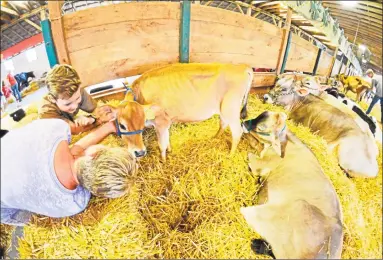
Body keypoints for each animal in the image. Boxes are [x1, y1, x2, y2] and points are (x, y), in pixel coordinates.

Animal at [112, 63, 254, 160]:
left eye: (141, 124)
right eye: (122, 125)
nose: (139, 152)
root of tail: (242, 66)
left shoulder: (161, 123)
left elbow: (161, 144)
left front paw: (163, 161)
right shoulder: (166, 123)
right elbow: (167, 140)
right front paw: (170, 150)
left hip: (230, 109)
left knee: (237, 131)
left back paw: (230, 154)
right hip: (223, 109)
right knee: (223, 123)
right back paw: (215, 137)